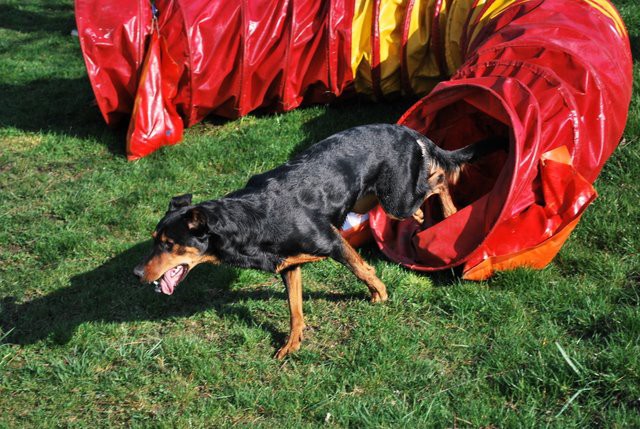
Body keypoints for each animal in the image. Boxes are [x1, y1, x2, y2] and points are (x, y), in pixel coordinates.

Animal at [134, 123, 504, 358]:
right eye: (154, 240)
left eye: (169, 244)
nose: (137, 274)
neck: (247, 221)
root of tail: (408, 131)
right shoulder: (288, 268)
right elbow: (295, 308)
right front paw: (291, 345)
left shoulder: (331, 241)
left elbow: (360, 268)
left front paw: (380, 294)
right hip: (371, 199)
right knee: (424, 190)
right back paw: (423, 219)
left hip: (394, 199)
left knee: (438, 179)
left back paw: (450, 209)